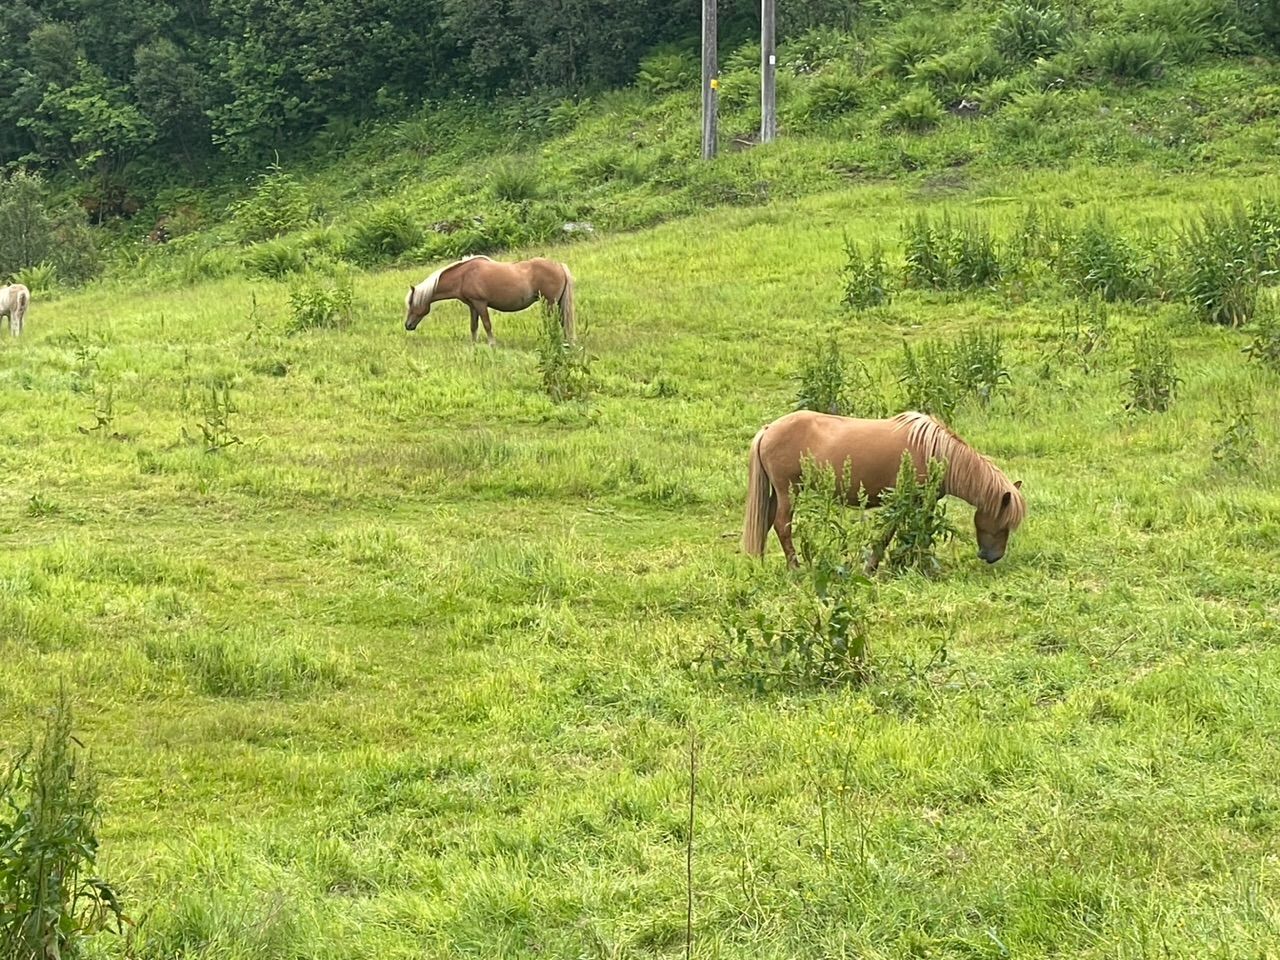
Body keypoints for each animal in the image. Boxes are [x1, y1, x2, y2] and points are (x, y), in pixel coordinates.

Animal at [404, 256, 576, 345]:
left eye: (412, 303)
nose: (408, 325)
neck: (464, 276)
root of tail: (559, 265)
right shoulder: (472, 306)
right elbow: (473, 327)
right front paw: (473, 345)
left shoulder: (480, 303)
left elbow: (487, 324)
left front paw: (492, 345)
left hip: (550, 303)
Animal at [742, 409, 1029, 568]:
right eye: (1003, 524)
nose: (993, 557)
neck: (933, 450)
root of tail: (768, 429)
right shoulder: (904, 500)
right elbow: (892, 534)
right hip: (788, 491)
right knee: (782, 525)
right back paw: (795, 568)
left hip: (776, 493)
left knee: (766, 522)